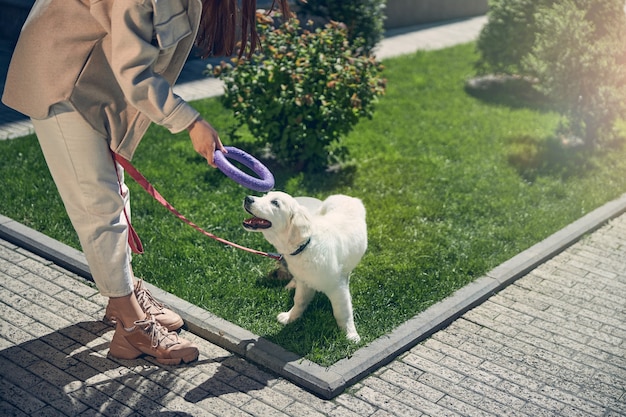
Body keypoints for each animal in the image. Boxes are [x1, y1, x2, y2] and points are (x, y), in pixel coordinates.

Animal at [240, 191, 366, 342]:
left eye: (275, 203)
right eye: (265, 195)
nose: (247, 198)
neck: (306, 245)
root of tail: (348, 197)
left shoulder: (338, 287)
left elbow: (343, 311)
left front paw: (351, 334)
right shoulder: (304, 281)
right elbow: (299, 300)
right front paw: (290, 317)